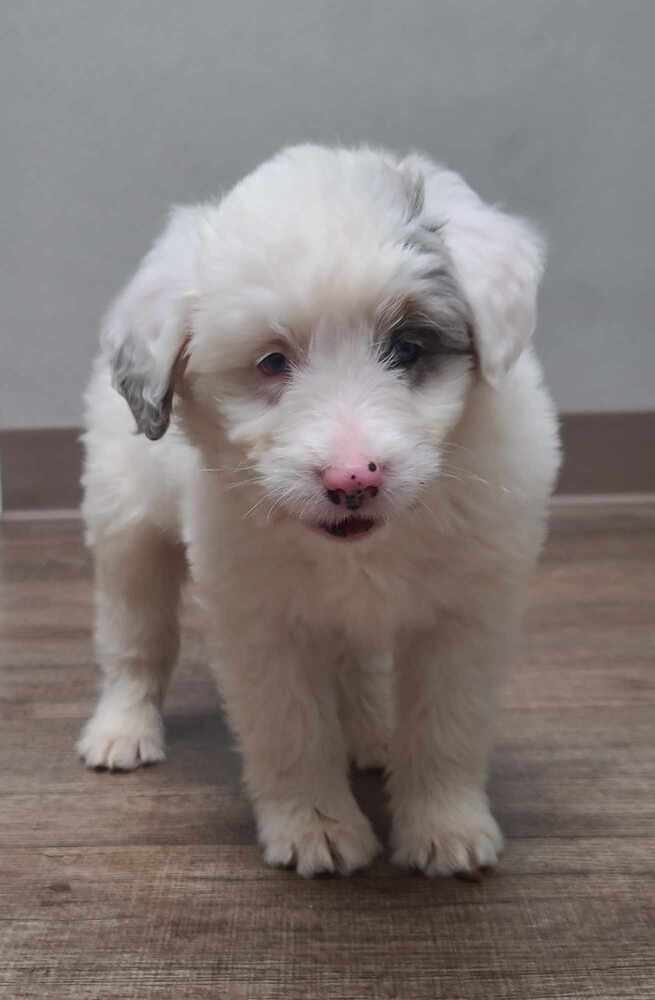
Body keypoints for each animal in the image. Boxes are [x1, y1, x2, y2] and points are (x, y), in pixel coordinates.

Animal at [77, 145, 560, 880]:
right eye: (272, 362)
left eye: (408, 348)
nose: (352, 479)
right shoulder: (259, 618)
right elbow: (290, 729)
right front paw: (316, 827)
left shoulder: (467, 613)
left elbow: (447, 725)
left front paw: (444, 828)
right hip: (126, 523)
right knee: (136, 637)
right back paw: (122, 728)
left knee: (355, 656)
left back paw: (371, 731)